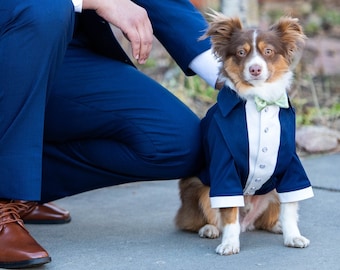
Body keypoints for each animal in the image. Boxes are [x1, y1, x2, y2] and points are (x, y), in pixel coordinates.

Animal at [177, 13, 314, 256]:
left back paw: (277, 226)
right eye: (241, 52)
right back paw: (210, 229)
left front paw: (293, 236)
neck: (259, 100)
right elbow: (229, 211)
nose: (255, 69)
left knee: (264, 220)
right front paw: (230, 243)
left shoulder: (291, 163)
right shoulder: (225, 164)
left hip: (272, 190)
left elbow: (290, 207)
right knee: (208, 218)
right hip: (198, 186)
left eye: (268, 51)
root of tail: (246, 224)